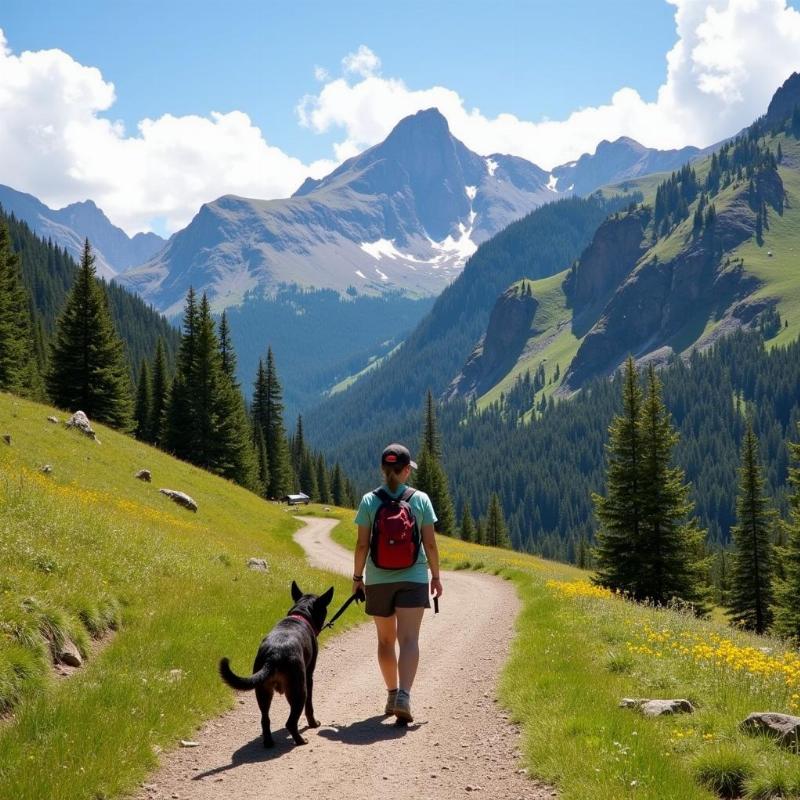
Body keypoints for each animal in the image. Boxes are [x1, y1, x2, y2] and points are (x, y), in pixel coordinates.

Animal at [220, 580, 332, 748]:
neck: (300, 614)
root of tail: (274, 654)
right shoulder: (309, 676)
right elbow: (310, 707)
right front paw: (313, 723)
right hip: (298, 690)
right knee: (290, 722)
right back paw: (300, 740)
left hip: (263, 690)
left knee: (265, 719)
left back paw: (268, 742)